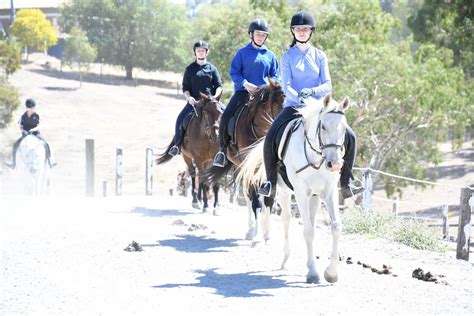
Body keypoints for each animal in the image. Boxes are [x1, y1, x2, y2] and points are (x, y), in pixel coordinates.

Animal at [206, 79, 284, 242]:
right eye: (275, 106)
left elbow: (268, 198)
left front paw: (267, 233)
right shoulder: (250, 169)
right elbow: (255, 201)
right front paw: (256, 234)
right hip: (241, 167)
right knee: (248, 197)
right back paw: (250, 231)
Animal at [239, 94, 350, 284]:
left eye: (344, 128)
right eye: (323, 126)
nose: (334, 164)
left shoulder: (329, 191)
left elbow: (335, 226)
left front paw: (331, 273)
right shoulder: (300, 192)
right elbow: (308, 231)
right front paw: (312, 272)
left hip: (314, 196)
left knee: (309, 220)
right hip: (283, 192)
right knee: (285, 220)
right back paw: (284, 260)